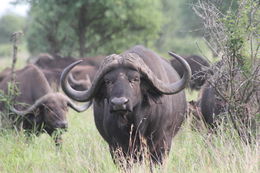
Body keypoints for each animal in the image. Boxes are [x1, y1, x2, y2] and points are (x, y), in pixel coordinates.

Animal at [60, 45, 191, 164]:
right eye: (107, 81)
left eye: (135, 79)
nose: (119, 103)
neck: (134, 124)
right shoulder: (116, 149)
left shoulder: (162, 145)